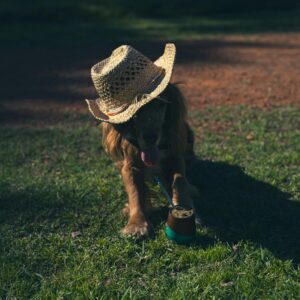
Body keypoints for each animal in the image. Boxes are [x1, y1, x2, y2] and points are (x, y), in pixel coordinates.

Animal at [102, 82, 198, 237]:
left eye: (161, 104)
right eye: (135, 110)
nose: (150, 137)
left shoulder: (175, 157)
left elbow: (179, 181)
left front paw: (182, 204)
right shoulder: (130, 165)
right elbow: (135, 192)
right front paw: (136, 224)